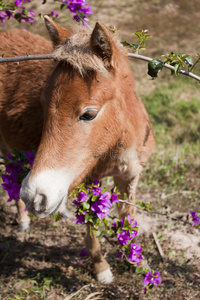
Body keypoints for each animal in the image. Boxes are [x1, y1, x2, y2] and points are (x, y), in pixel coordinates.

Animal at [0, 16, 155, 284]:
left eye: (89, 114)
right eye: (42, 104)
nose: (34, 195)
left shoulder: (131, 175)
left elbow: (128, 218)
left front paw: (136, 260)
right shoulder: (90, 180)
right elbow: (92, 225)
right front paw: (101, 269)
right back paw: (23, 220)